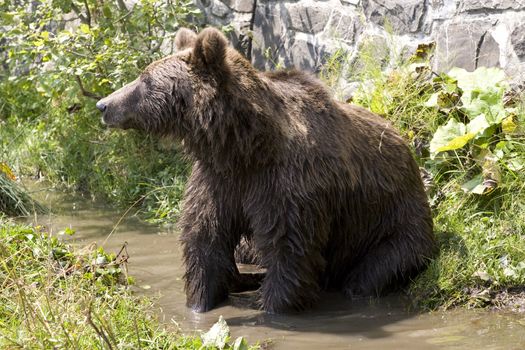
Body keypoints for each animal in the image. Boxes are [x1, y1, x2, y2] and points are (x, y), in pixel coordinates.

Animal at [96, 26, 436, 312]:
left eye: (145, 80)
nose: (103, 104)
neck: (243, 146)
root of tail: (406, 145)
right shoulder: (219, 179)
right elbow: (205, 239)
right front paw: (200, 304)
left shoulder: (288, 185)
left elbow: (288, 250)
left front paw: (275, 309)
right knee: (245, 251)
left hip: (393, 222)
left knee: (374, 271)